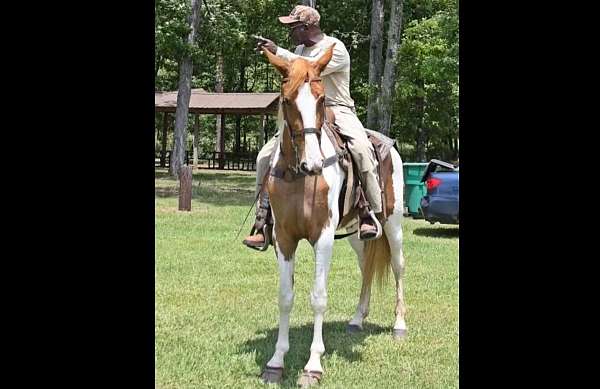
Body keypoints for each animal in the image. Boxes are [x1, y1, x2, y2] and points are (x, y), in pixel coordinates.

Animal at [258, 44, 408, 384]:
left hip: (393, 225)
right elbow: (285, 296)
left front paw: (313, 366)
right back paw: (357, 319)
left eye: (321, 99)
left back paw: (399, 325)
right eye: (287, 100)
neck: (298, 175)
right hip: (355, 233)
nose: (312, 164)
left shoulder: (323, 238)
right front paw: (276, 361)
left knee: (397, 266)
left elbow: (318, 297)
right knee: (366, 267)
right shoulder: (284, 238)